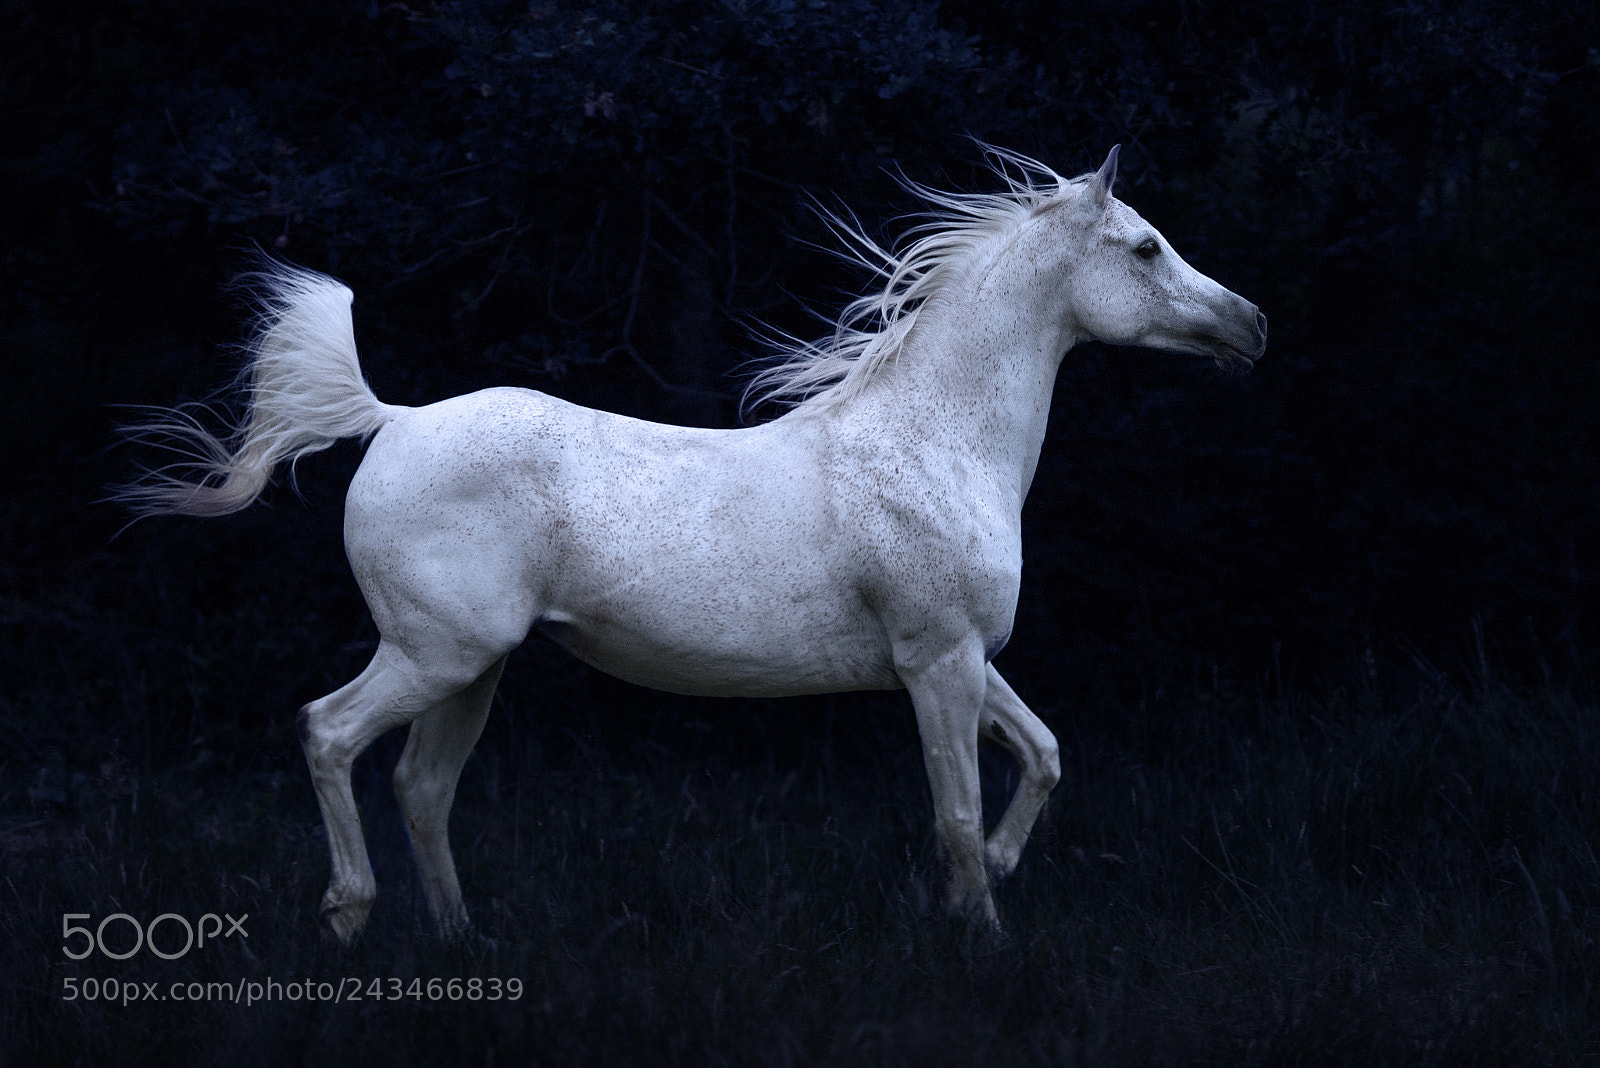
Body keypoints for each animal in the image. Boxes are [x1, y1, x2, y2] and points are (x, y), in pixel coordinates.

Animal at [117, 146, 1266, 943]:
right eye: (1144, 247)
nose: (1250, 325)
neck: (931, 439)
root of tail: (391, 419)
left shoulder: (968, 660)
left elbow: (1042, 756)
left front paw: (989, 879)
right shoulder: (937, 663)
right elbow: (953, 807)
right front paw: (978, 933)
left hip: (472, 667)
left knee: (421, 787)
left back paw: (460, 938)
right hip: (434, 654)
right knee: (329, 734)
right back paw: (349, 918)